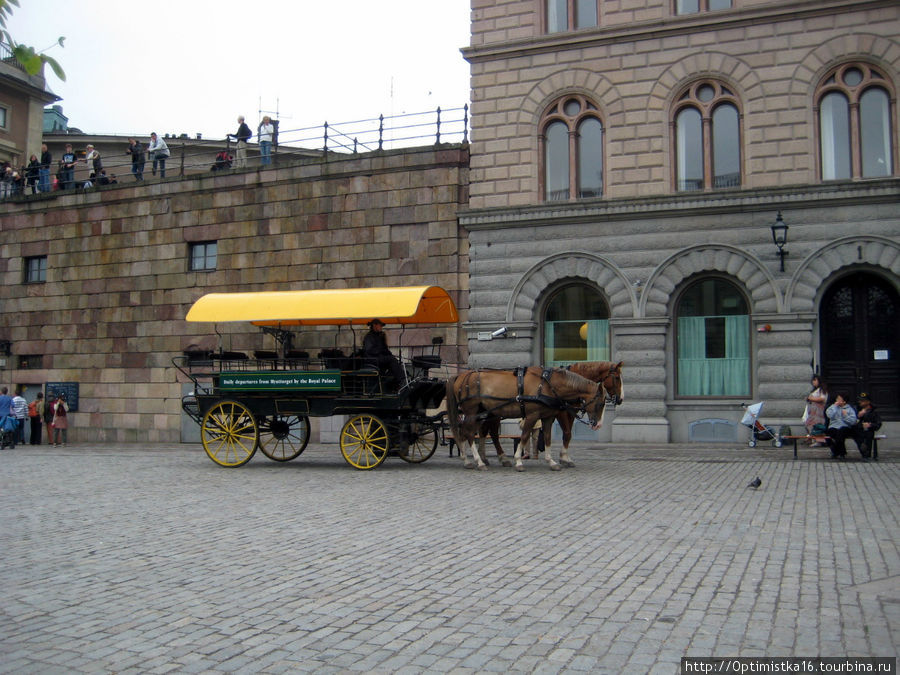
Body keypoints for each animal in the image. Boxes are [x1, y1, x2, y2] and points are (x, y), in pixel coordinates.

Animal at [448, 368, 608, 472]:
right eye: (601, 403)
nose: (599, 424)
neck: (548, 385)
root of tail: (461, 375)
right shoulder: (532, 416)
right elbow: (524, 436)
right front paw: (518, 460)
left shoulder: (548, 417)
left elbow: (548, 438)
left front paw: (551, 461)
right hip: (471, 413)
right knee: (468, 434)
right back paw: (478, 461)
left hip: (483, 413)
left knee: (471, 433)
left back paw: (469, 459)